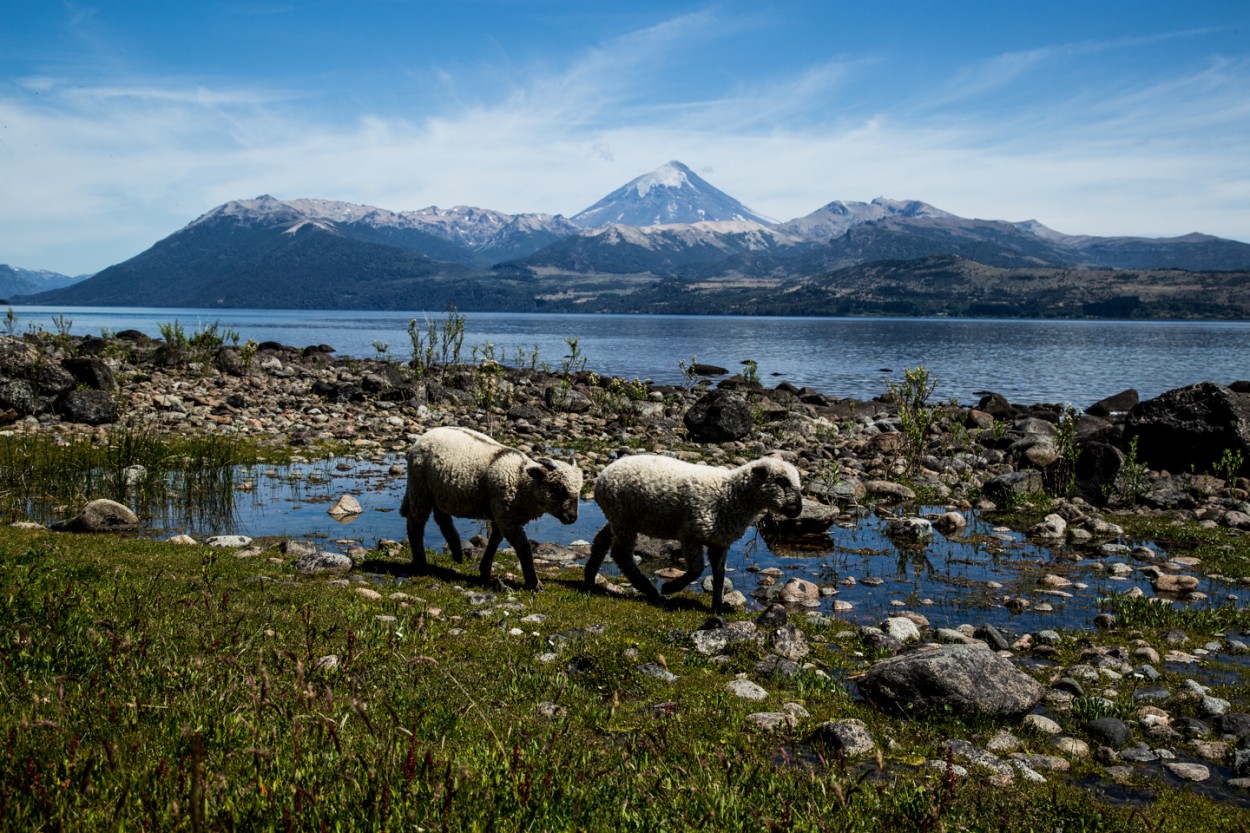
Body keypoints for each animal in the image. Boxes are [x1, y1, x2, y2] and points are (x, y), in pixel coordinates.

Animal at [400, 427, 585, 590]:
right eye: (557, 487)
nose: (572, 518)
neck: (521, 480)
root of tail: (424, 436)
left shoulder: (502, 515)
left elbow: (495, 540)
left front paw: (485, 570)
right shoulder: (506, 517)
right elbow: (524, 548)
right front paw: (534, 583)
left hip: (440, 492)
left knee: (442, 518)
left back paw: (456, 552)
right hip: (420, 488)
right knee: (415, 524)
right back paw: (421, 563)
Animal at [582, 450, 800, 607]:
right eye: (781, 480)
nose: (797, 509)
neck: (730, 494)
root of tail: (602, 477)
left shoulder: (719, 542)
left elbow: (719, 574)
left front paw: (717, 605)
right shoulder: (689, 534)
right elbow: (696, 570)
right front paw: (670, 587)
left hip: (619, 519)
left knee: (601, 540)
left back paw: (590, 577)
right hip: (623, 518)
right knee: (621, 554)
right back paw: (650, 590)